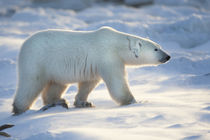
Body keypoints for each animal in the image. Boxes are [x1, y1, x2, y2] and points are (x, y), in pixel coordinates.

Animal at [12, 26, 171, 114]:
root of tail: (24, 44)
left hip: (54, 68)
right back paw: (20, 109)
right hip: (36, 60)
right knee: (30, 84)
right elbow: (117, 82)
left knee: (56, 85)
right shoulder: (108, 57)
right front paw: (134, 102)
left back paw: (58, 101)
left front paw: (84, 103)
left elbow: (88, 83)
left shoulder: (95, 65)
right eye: (156, 49)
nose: (168, 56)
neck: (117, 45)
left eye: (159, 45)